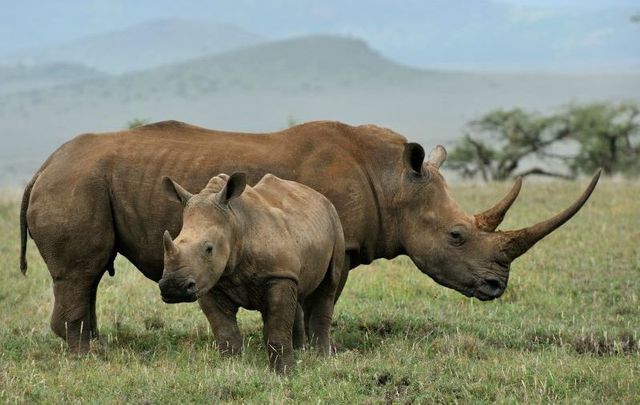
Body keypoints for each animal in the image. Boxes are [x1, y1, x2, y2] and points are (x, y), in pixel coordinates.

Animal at [20, 119, 600, 350]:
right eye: (457, 236)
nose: (497, 287)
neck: (393, 181)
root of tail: (41, 166)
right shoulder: (332, 239)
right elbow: (315, 301)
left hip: (80, 180)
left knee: (88, 277)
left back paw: (96, 348)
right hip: (75, 182)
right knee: (80, 272)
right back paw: (92, 357)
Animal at [159, 172, 344, 370]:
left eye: (209, 249)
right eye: (175, 241)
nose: (173, 287)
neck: (235, 222)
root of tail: (317, 195)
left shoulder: (277, 275)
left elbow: (277, 330)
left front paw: (285, 372)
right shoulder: (209, 282)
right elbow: (225, 333)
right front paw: (230, 368)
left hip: (335, 221)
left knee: (327, 287)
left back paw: (322, 359)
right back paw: (300, 353)